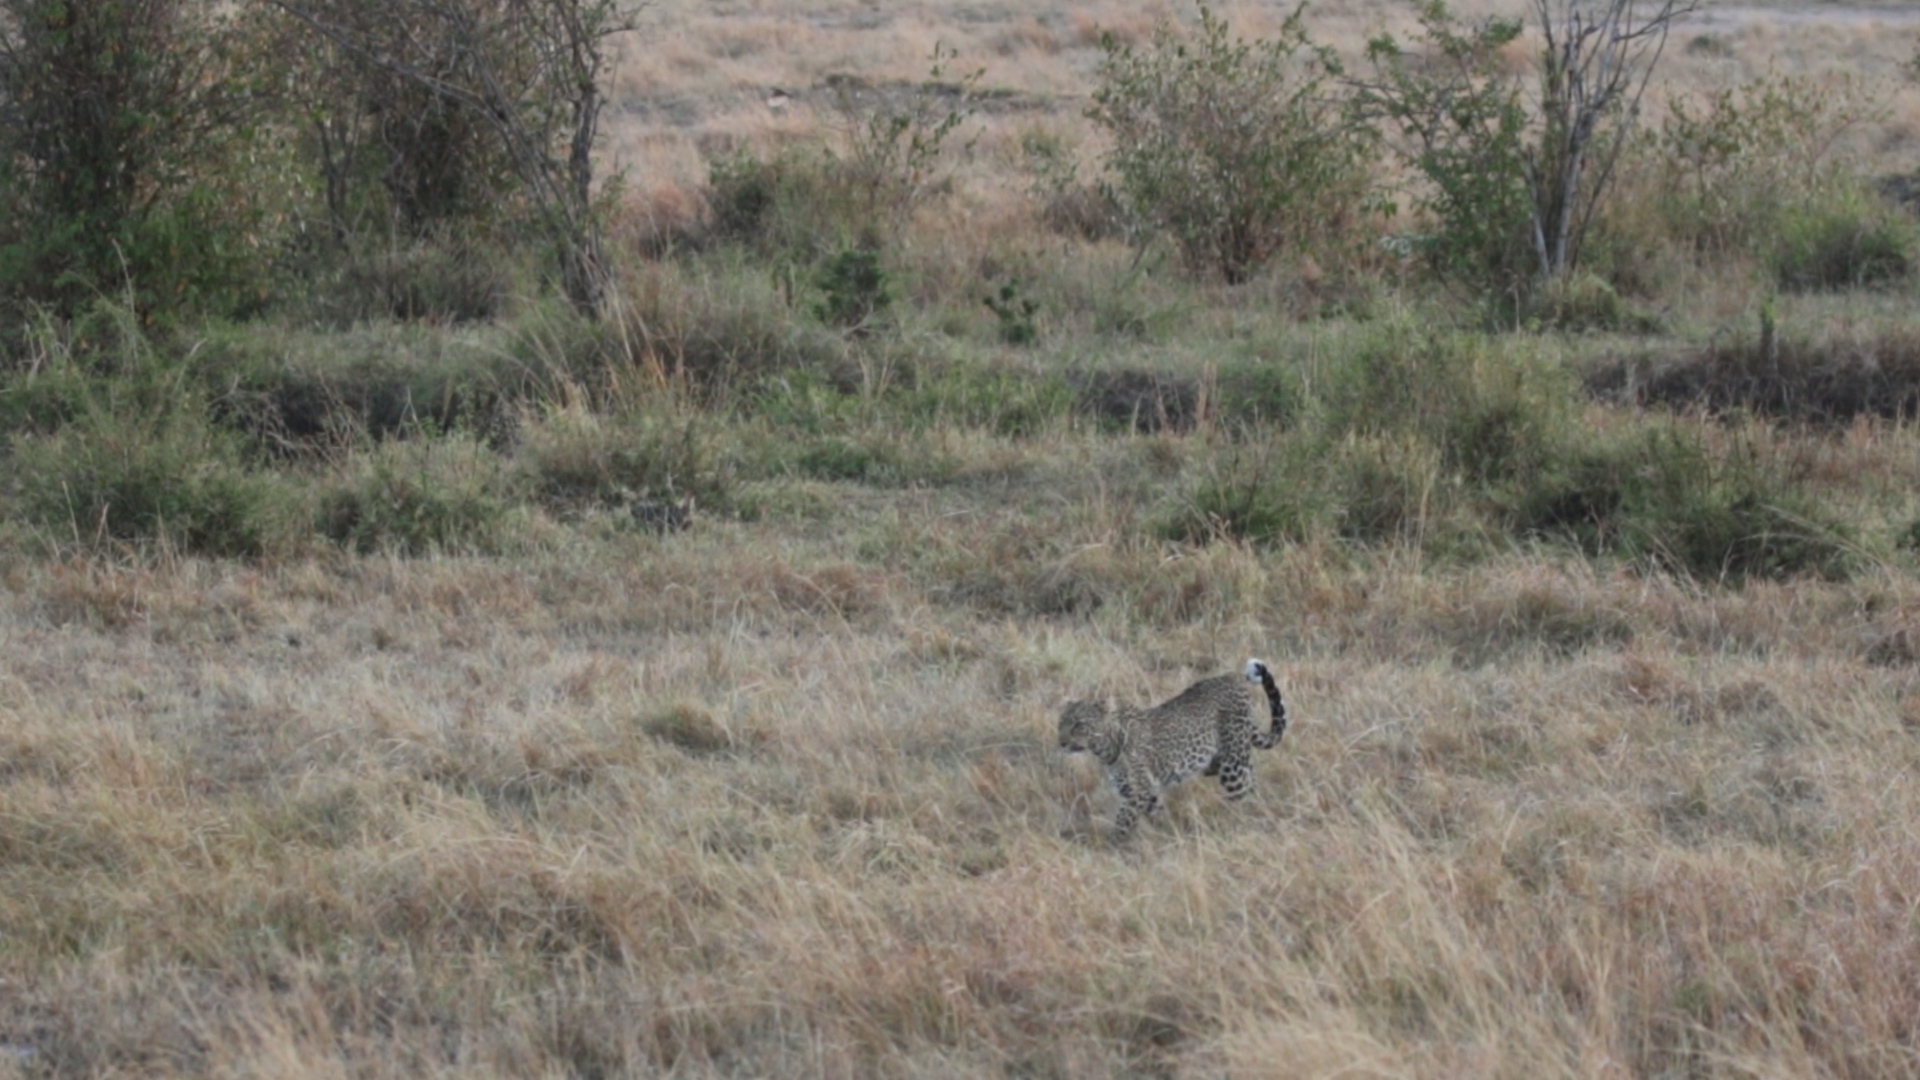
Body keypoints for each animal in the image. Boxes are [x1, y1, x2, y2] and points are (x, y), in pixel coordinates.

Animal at [1067, 657, 1290, 841]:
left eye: (1079, 725)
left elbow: (1123, 820)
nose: (1062, 742)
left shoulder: (1138, 789)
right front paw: (1163, 832)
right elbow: (1155, 813)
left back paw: (1243, 820)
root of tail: (1231, 679)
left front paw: (1113, 845)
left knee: (1241, 790)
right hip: (1219, 760)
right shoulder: (1141, 790)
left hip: (1231, 765)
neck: (1105, 750)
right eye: (1062, 724)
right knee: (1248, 772)